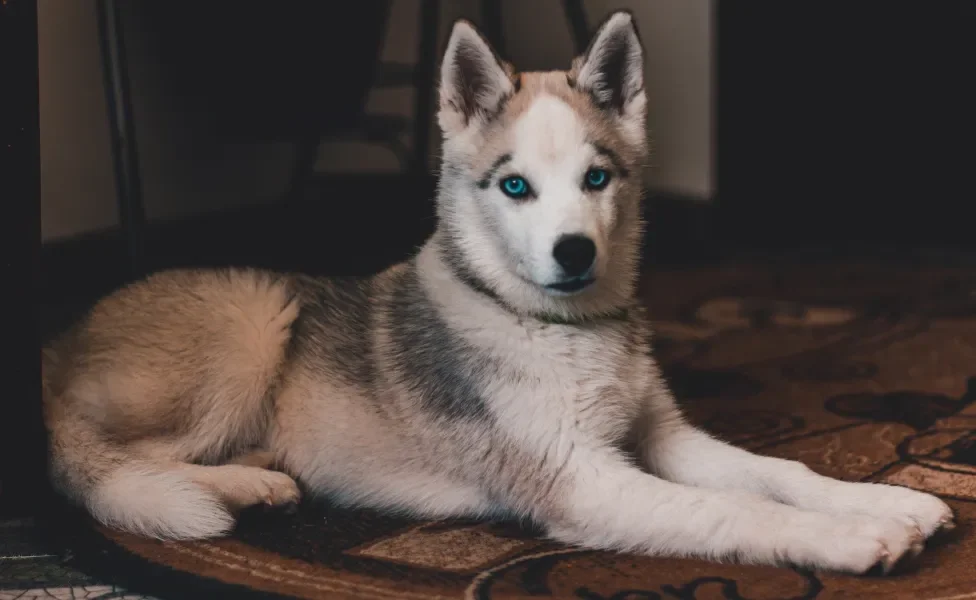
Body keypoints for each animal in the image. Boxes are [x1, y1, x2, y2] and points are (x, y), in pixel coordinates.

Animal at [43, 12, 952, 572]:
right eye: (514, 186)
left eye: (596, 177)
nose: (574, 251)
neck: (563, 329)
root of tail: (56, 346)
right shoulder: (581, 481)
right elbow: (732, 513)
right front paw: (851, 536)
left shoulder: (662, 436)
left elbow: (774, 470)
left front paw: (885, 499)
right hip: (254, 317)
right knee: (109, 463)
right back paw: (237, 488)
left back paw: (261, 475)